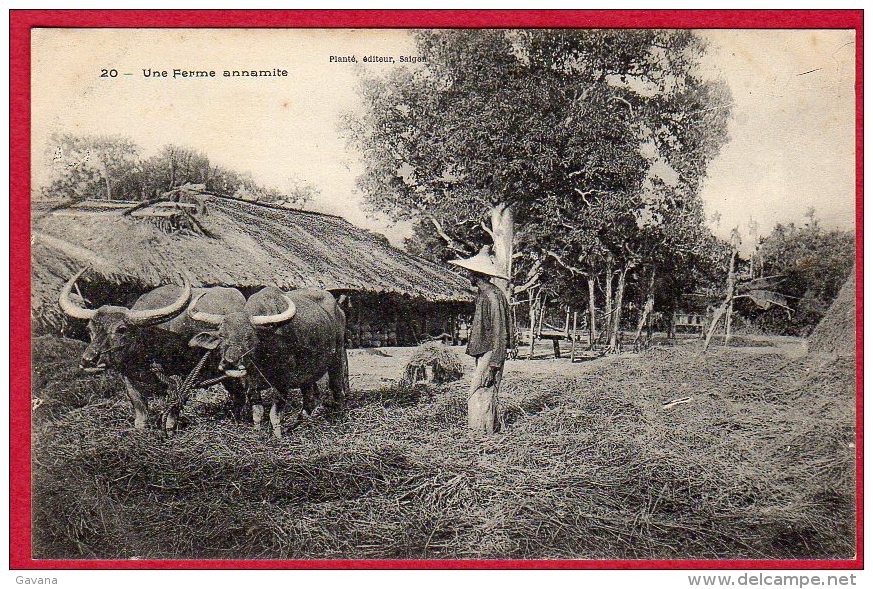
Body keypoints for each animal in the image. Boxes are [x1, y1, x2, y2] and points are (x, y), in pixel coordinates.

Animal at [59, 268, 247, 430]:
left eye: (121, 329)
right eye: (89, 330)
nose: (88, 360)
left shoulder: (181, 378)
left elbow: (174, 405)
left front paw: (169, 428)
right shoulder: (128, 377)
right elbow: (138, 403)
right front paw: (141, 426)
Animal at [189, 284, 350, 436]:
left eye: (249, 336)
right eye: (222, 335)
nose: (230, 362)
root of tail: (338, 309)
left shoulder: (282, 383)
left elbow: (274, 414)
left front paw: (277, 437)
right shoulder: (251, 385)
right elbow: (257, 412)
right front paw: (257, 433)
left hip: (337, 357)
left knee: (337, 388)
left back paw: (340, 418)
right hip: (308, 372)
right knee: (309, 397)